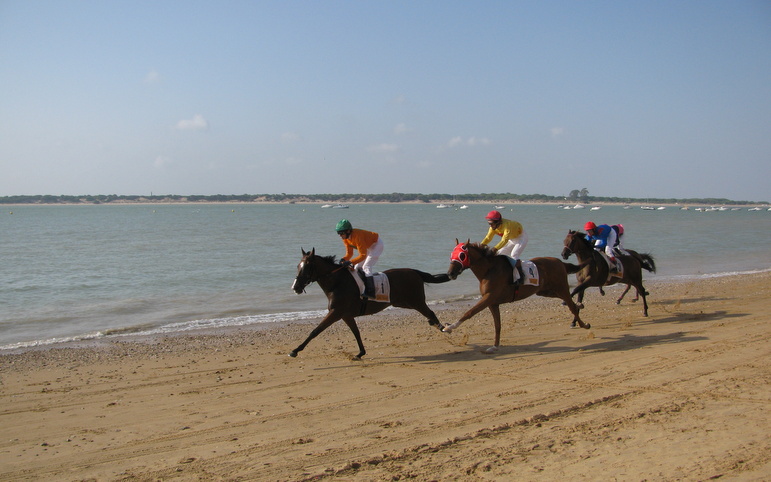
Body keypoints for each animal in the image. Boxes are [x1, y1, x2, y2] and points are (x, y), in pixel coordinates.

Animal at [288, 249, 452, 358]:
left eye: (307, 267)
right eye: (298, 266)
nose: (295, 287)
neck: (338, 283)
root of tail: (414, 271)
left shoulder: (335, 312)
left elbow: (315, 331)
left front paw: (295, 350)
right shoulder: (346, 315)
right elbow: (356, 332)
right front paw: (360, 353)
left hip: (416, 301)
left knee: (430, 312)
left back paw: (444, 328)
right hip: (403, 302)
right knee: (428, 314)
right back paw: (434, 324)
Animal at [440, 241, 592, 354]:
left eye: (461, 255)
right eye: (451, 255)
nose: (450, 273)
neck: (489, 270)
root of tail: (560, 262)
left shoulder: (488, 298)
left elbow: (469, 312)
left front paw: (449, 327)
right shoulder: (493, 303)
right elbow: (497, 325)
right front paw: (494, 346)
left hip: (561, 288)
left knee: (571, 306)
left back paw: (584, 324)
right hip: (545, 291)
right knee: (570, 303)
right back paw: (579, 306)